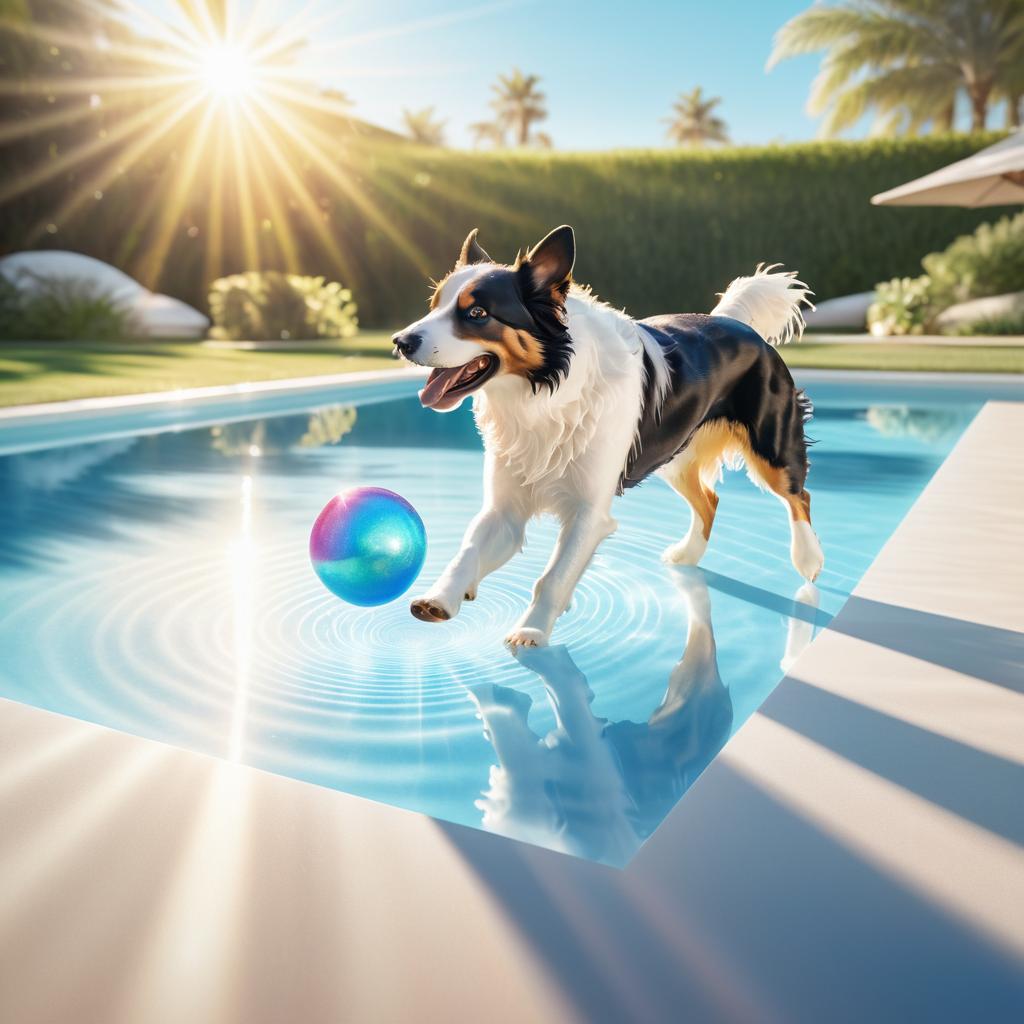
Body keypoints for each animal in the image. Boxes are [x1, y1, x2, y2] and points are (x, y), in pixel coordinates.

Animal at [391, 226, 823, 647]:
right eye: (434, 305)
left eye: (477, 313)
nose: (400, 342)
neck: (544, 393)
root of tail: (740, 325)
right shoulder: (505, 507)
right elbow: (467, 551)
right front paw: (439, 599)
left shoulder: (589, 510)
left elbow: (554, 576)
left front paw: (532, 630)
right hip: (674, 453)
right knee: (710, 500)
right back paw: (687, 555)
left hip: (770, 446)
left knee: (798, 495)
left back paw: (808, 561)